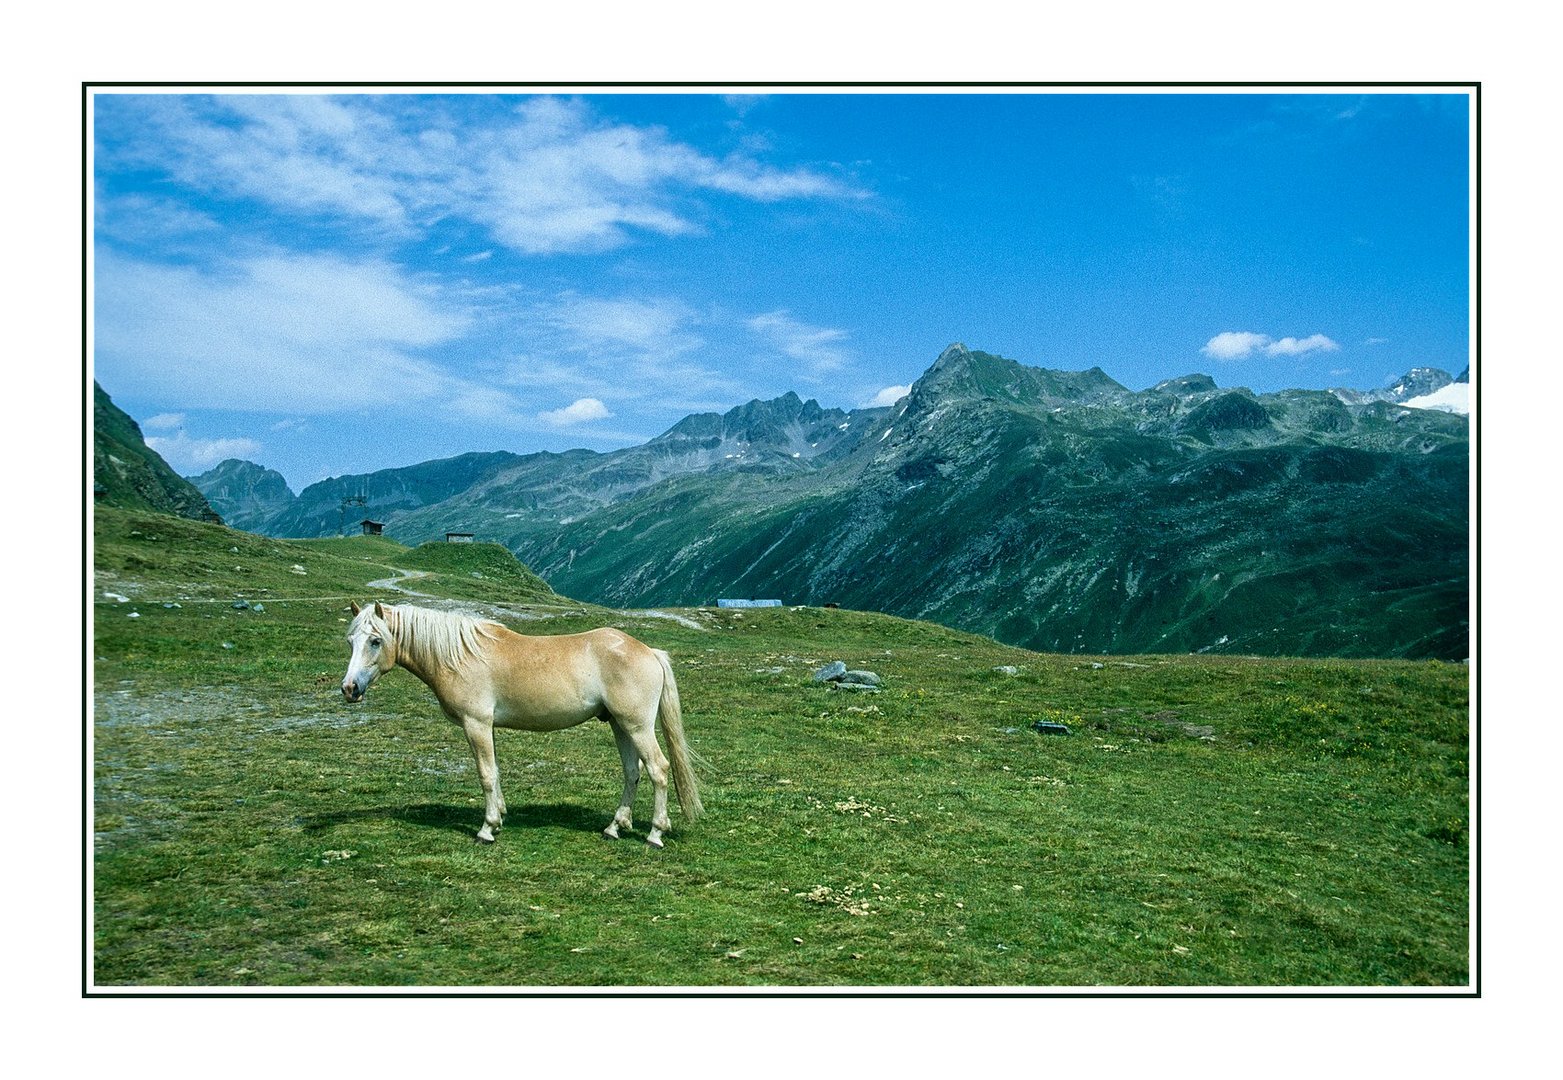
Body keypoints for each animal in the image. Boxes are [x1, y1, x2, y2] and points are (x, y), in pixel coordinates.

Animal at [350, 603, 709, 850]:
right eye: (350, 640)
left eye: (375, 641)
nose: (349, 688)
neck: (460, 655)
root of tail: (648, 651)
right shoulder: (487, 727)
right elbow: (495, 772)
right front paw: (499, 818)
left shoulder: (476, 724)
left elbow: (485, 775)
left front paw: (486, 829)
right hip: (621, 727)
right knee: (632, 772)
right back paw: (614, 827)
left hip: (637, 727)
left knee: (658, 770)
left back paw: (654, 834)